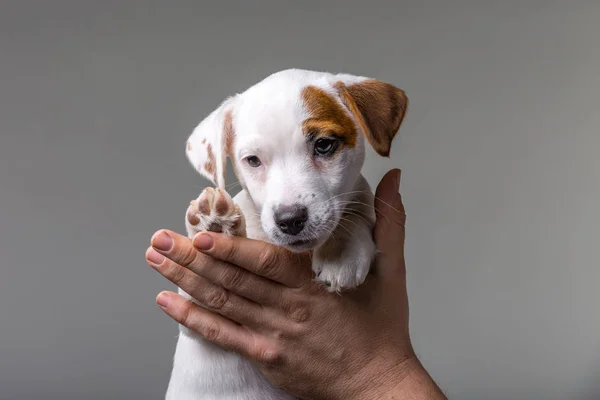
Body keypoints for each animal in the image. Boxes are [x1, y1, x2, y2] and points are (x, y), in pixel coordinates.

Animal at [165, 69, 408, 400]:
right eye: (253, 160)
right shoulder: (196, 320)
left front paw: (341, 252)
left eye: (324, 145)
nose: (290, 220)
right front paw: (213, 224)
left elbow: (354, 213)